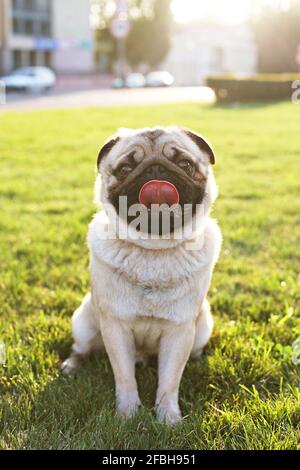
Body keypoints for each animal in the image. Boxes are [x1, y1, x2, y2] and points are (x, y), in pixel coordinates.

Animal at [62, 126, 221, 424]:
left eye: (184, 164)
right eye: (125, 168)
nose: (155, 168)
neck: (153, 249)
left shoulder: (179, 331)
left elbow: (169, 381)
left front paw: (168, 418)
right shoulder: (116, 327)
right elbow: (125, 378)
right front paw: (127, 415)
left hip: (203, 325)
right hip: (84, 321)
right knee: (83, 348)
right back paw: (72, 365)